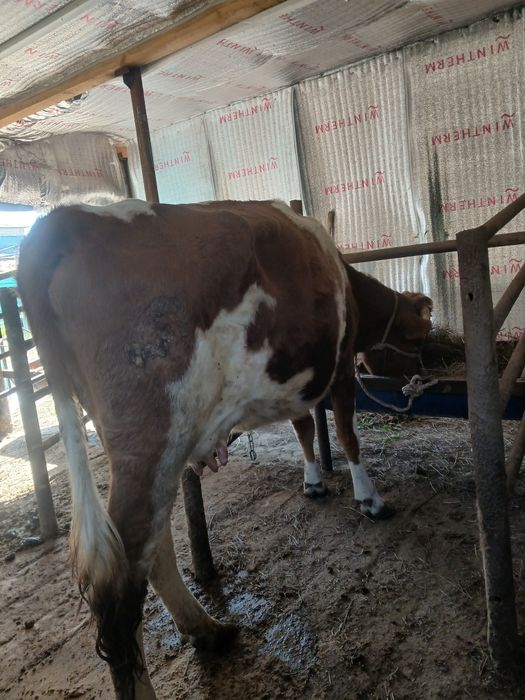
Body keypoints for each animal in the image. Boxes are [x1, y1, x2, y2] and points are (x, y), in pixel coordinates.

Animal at [17, 199, 432, 700]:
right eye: (420, 335)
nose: (415, 380)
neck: (344, 280)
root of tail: (64, 220)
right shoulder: (342, 366)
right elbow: (348, 434)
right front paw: (369, 498)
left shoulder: (295, 380)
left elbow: (302, 428)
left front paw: (314, 482)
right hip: (153, 436)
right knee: (120, 588)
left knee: (150, 550)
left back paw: (208, 630)